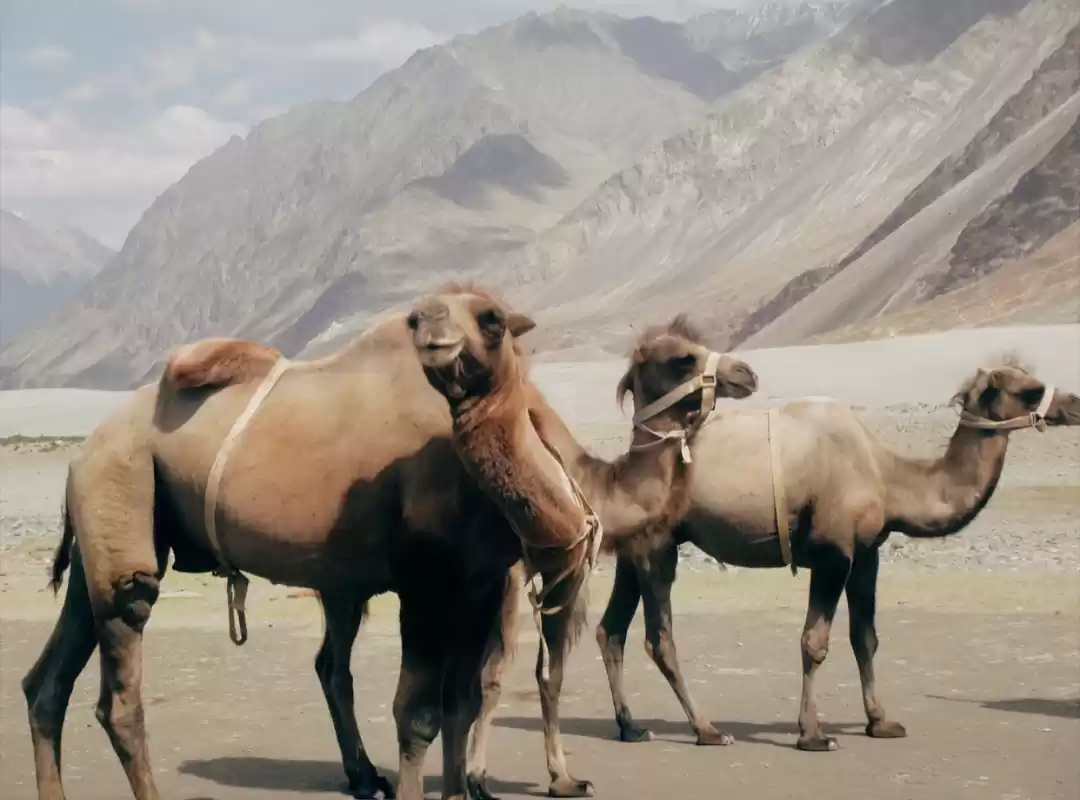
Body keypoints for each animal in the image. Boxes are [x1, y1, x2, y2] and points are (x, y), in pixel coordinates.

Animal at [409, 305, 759, 798]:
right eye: (682, 359)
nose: (746, 373)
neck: (595, 488)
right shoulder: (532, 572)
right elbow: (528, 673)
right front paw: (558, 778)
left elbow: (491, 676)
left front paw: (478, 776)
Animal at [591, 345, 1080, 752]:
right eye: (1032, 390)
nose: (1074, 404)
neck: (887, 475)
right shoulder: (833, 551)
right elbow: (814, 642)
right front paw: (813, 734)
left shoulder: (867, 553)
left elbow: (866, 637)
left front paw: (880, 722)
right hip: (657, 547)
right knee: (660, 640)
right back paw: (707, 730)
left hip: (635, 549)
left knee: (611, 629)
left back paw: (631, 727)